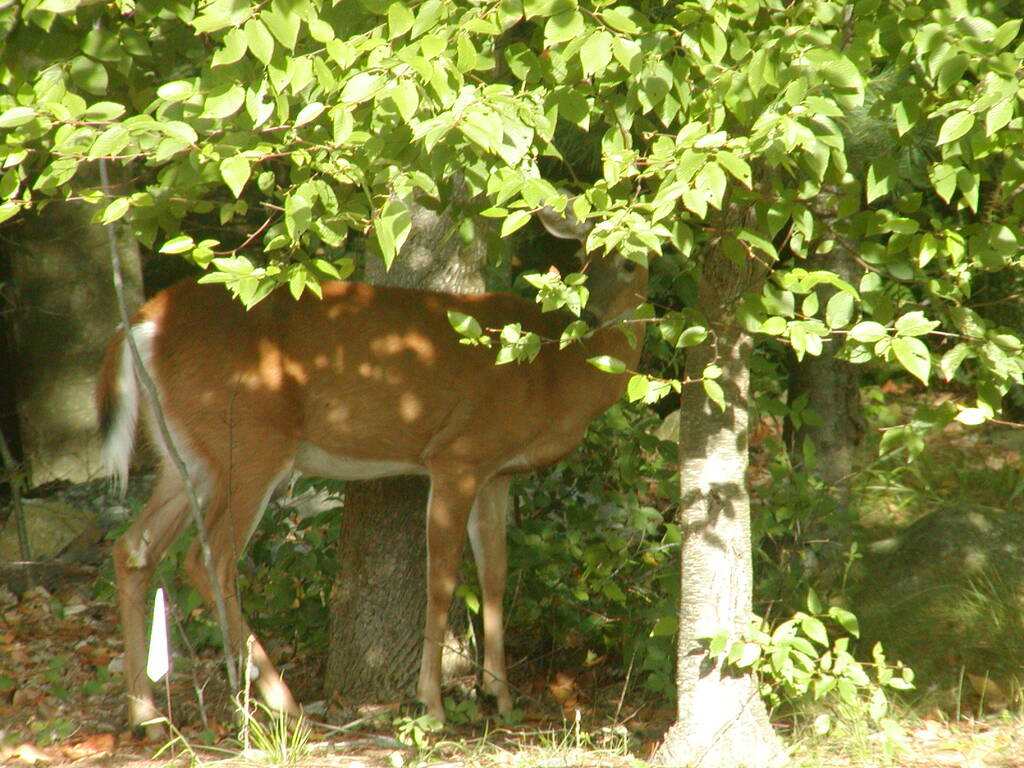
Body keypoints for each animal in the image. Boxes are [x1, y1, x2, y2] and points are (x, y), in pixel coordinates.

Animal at [97, 208, 648, 735]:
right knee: (209, 557)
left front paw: (500, 695)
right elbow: (442, 577)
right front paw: (433, 705)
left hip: (188, 455)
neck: (553, 372)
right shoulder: (457, 453)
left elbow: (495, 571)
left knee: (134, 548)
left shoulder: (497, 470)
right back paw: (286, 706)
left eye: (629, 262)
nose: (590, 315)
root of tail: (142, 322)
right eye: (582, 257)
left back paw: (146, 717)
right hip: (249, 440)